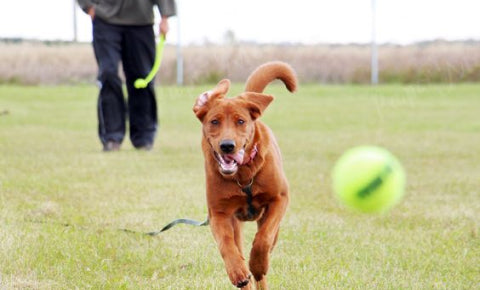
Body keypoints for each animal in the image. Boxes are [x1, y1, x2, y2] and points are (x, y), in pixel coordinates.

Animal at [192, 61, 296, 288]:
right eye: (214, 121)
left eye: (240, 121)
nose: (227, 146)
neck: (243, 176)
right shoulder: (218, 213)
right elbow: (226, 244)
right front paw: (238, 271)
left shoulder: (279, 199)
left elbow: (263, 238)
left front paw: (257, 264)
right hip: (236, 223)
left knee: (267, 249)